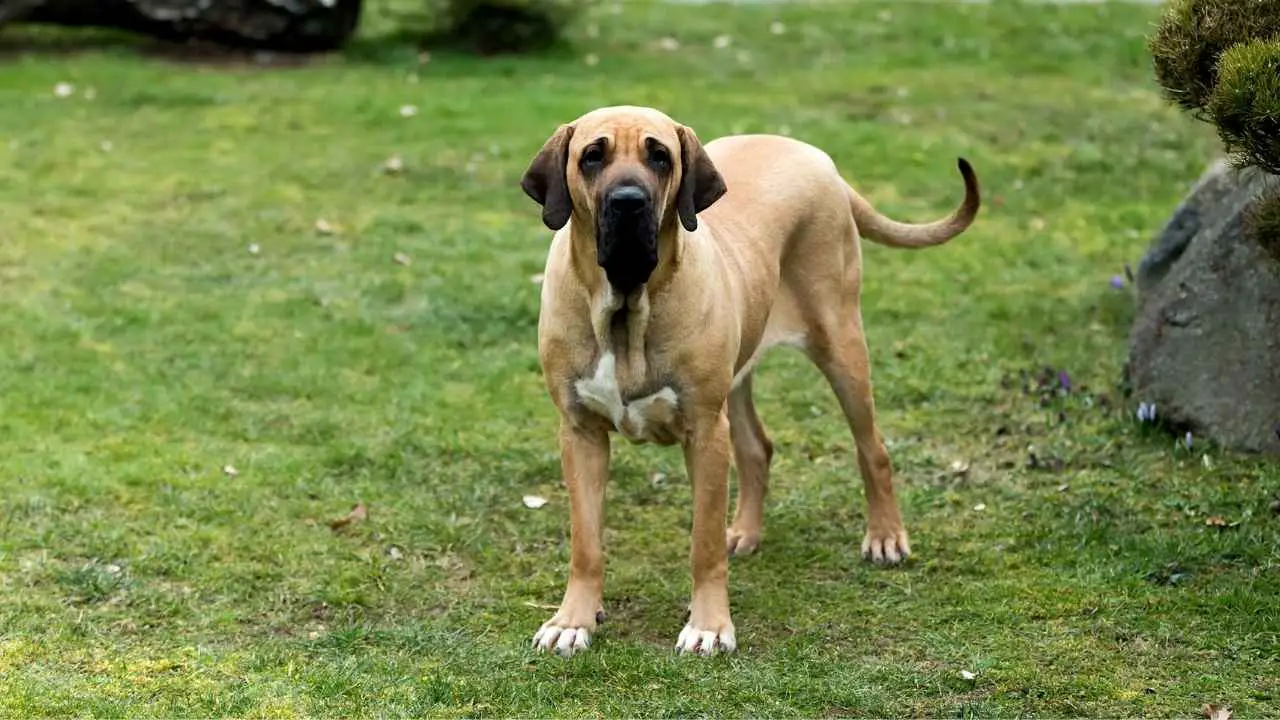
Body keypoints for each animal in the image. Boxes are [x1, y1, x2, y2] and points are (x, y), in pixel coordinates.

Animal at [519, 103, 977, 653]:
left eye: (659, 156)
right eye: (592, 155)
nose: (629, 202)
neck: (626, 303)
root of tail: (820, 160)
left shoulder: (704, 432)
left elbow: (703, 542)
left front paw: (708, 625)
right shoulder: (580, 432)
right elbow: (586, 542)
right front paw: (573, 620)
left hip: (840, 342)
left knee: (873, 448)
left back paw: (885, 536)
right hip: (739, 372)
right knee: (758, 447)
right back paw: (745, 532)